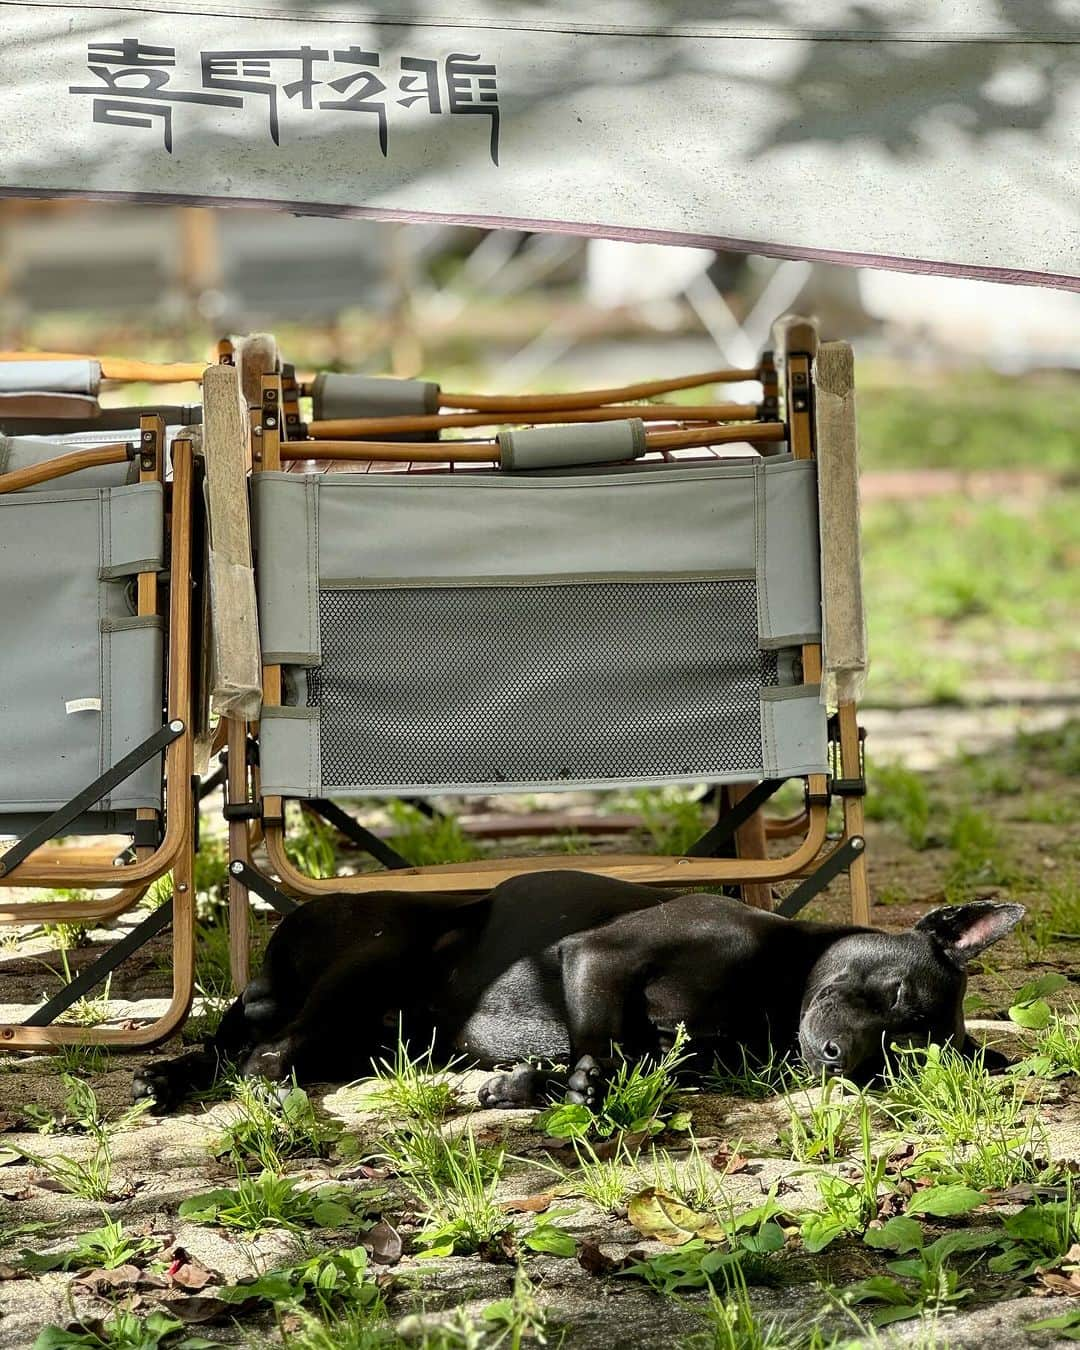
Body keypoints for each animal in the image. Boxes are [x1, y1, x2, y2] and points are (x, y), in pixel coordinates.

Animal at [139, 869, 1026, 1112]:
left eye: (902, 1060)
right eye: (898, 997)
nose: (843, 1061)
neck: (775, 991)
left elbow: (616, 1070)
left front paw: (519, 1086)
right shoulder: (597, 959)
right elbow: (598, 1056)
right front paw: (554, 1085)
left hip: (366, 1033)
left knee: (240, 1049)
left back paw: (167, 1079)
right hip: (366, 969)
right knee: (264, 1054)